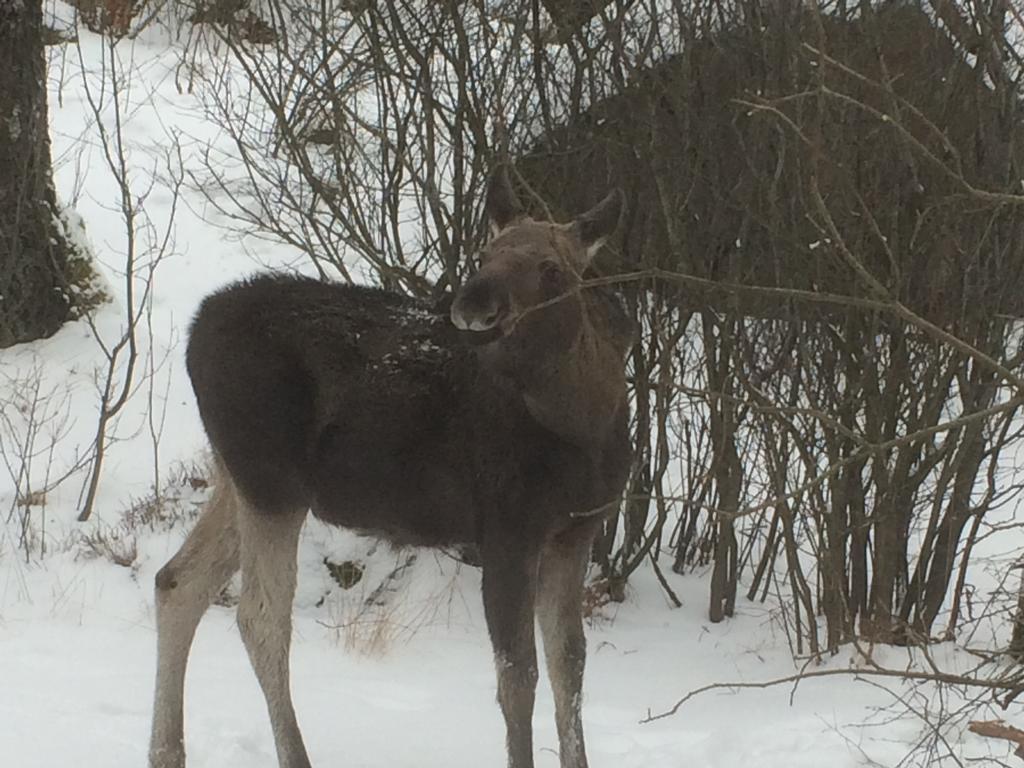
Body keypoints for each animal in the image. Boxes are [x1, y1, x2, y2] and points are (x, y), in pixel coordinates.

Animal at [149, 171, 630, 768]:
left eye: (552, 268)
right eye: (485, 253)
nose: (474, 303)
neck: (584, 424)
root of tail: (194, 333)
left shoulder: (577, 529)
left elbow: (571, 665)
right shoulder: (507, 527)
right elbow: (519, 676)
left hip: (236, 477)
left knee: (177, 582)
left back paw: (165, 750)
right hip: (269, 480)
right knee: (258, 616)